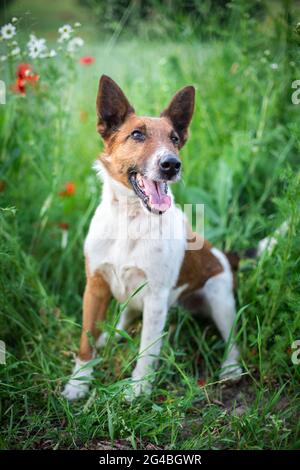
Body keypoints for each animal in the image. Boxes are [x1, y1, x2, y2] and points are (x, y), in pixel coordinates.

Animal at [62, 74, 243, 400]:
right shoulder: (95, 286)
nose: (171, 165)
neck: (130, 221)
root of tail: (225, 256)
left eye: (174, 139)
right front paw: (78, 383)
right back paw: (110, 336)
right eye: (136, 135)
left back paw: (231, 369)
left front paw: (138, 389)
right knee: (123, 318)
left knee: (233, 341)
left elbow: (147, 350)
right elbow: (85, 340)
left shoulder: (156, 298)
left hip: (219, 297)